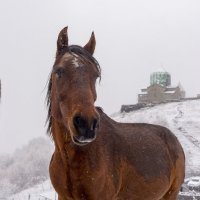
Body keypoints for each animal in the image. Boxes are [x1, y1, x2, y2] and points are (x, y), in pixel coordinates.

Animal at [47, 27, 184, 200]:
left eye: (95, 75)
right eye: (59, 71)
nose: (86, 124)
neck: (69, 158)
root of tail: (173, 137)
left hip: (171, 194)